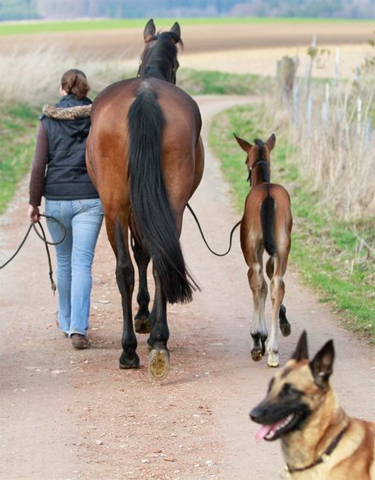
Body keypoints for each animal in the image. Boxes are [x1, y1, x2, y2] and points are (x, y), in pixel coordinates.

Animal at [86, 17, 204, 378]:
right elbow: (145, 255)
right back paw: (155, 342)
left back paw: (134, 348)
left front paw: (143, 318)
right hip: (163, 207)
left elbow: (140, 255)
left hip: (116, 208)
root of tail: (146, 94)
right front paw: (146, 321)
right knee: (153, 261)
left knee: (127, 267)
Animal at [235, 134, 294, 368]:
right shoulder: (275, 250)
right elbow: (271, 279)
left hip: (251, 247)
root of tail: (268, 195)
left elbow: (260, 286)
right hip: (283, 244)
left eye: (245, 160)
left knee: (257, 279)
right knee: (277, 283)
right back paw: (273, 351)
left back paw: (258, 342)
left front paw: (260, 337)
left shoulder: (259, 249)